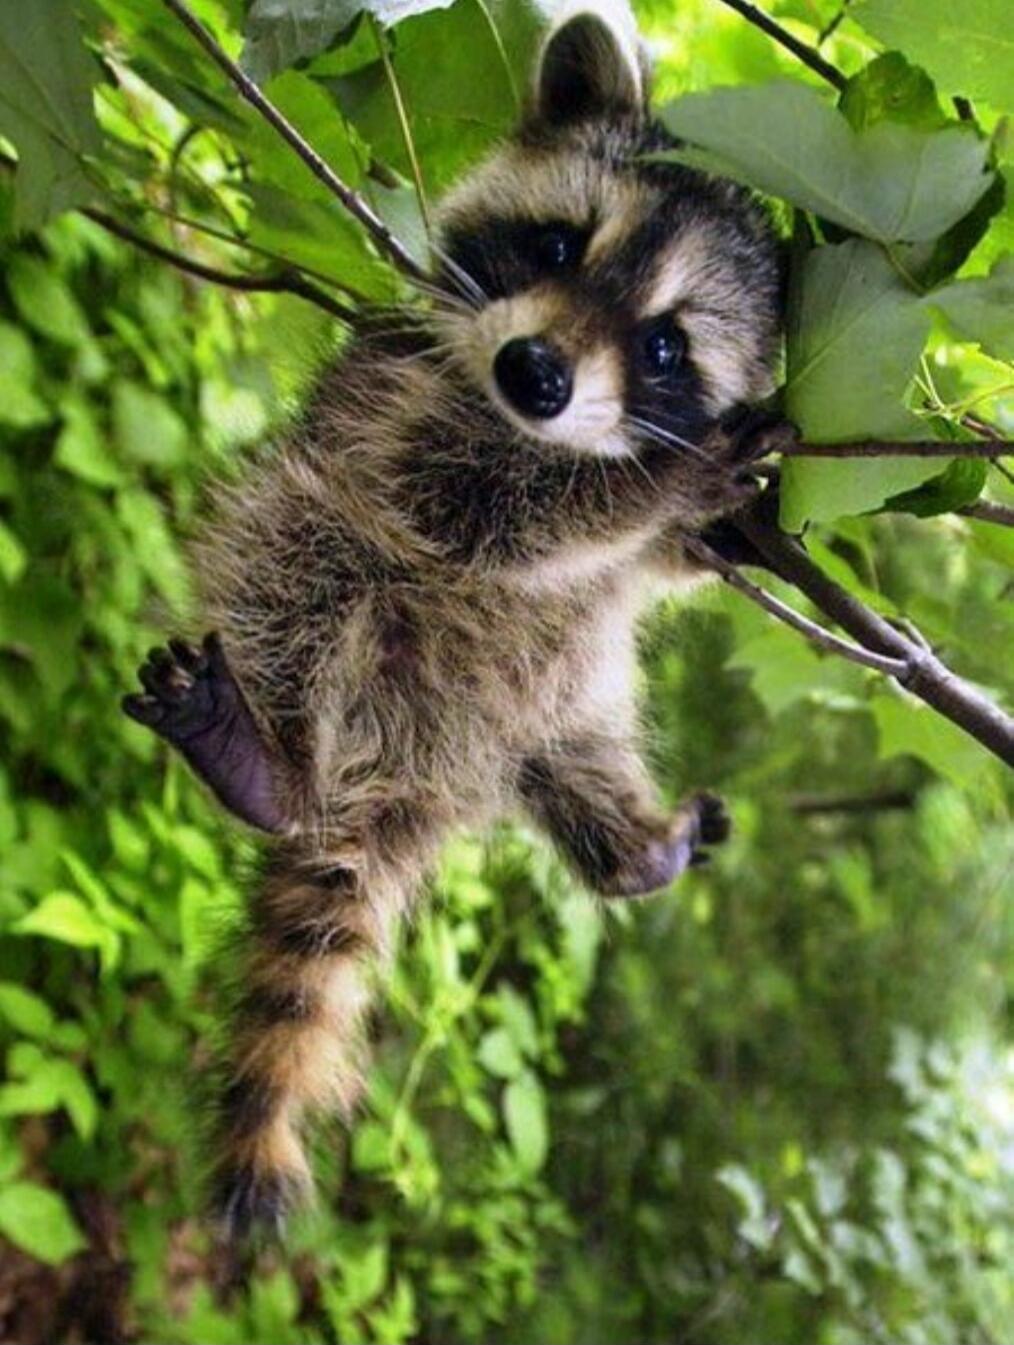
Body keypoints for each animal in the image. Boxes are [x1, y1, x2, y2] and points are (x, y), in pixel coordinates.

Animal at [123, 0, 782, 1238]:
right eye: (561, 245)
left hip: (558, 706)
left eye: (664, 345)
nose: (537, 374)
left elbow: (649, 572)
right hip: (326, 547)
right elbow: (478, 510)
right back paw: (269, 757)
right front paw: (648, 489)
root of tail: (398, 780)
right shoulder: (399, 399)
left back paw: (629, 843)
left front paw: (696, 526)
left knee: (579, 749)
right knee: (298, 549)